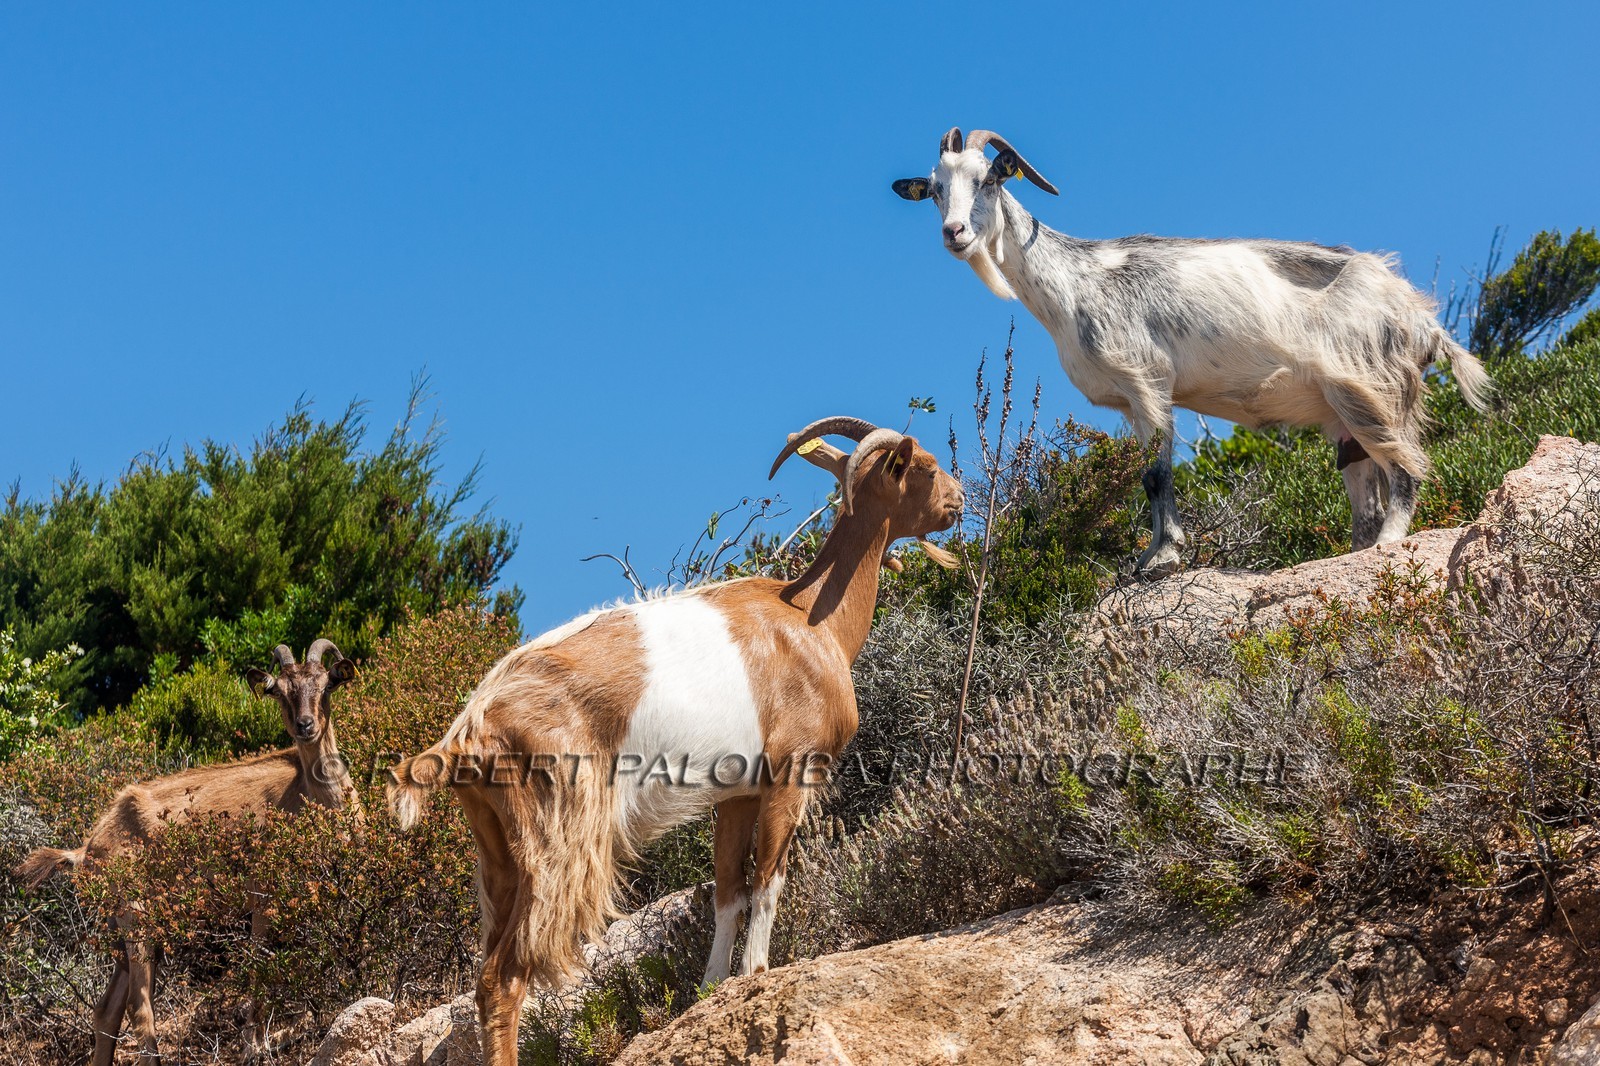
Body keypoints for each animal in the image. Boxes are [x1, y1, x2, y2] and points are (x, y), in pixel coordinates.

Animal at [13, 640, 358, 1066]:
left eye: (325, 685)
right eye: (279, 691)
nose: (305, 726)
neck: (312, 797)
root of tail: (88, 848)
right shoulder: (263, 897)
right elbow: (259, 968)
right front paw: (254, 1046)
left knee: (107, 1009)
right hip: (135, 916)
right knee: (139, 1006)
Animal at [386, 416, 963, 1066]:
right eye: (926, 466)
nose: (960, 500)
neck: (814, 619)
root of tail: (469, 730)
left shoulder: (736, 794)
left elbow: (728, 891)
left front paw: (712, 989)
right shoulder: (791, 774)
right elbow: (768, 881)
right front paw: (758, 973)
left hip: (497, 851)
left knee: (486, 978)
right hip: (558, 839)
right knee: (508, 975)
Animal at [894, 126, 1492, 572]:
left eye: (987, 179)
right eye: (936, 189)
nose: (954, 233)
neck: (1075, 283)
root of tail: (1419, 315)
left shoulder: (1149, 383)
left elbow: (1157, 474)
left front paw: (1164, 557)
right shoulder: (1131, 403)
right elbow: (1146, 475)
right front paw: (1151, 556)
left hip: (1370, 387)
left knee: (1407, 467)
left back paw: (1391, 542)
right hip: (1344, 412)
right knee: (1364, 490)